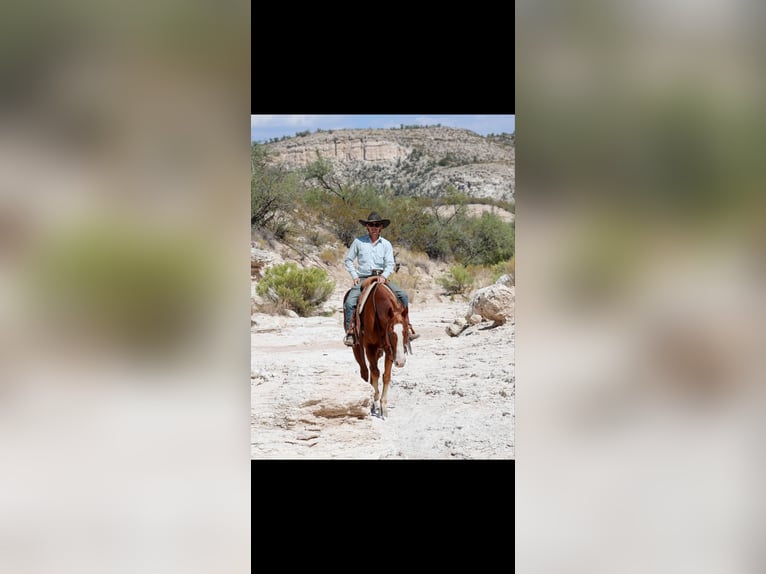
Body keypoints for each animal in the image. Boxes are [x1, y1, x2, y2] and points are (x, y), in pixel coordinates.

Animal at [348, 277, 411, 419]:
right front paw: (374, 400)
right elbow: (375, 372)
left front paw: (383, 407)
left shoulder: (389, 350)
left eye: (405, 331)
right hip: (357, 348)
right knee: (365, 371)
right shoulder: (370, 347)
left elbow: (386, 375)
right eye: (391, 333)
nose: (400, 362)